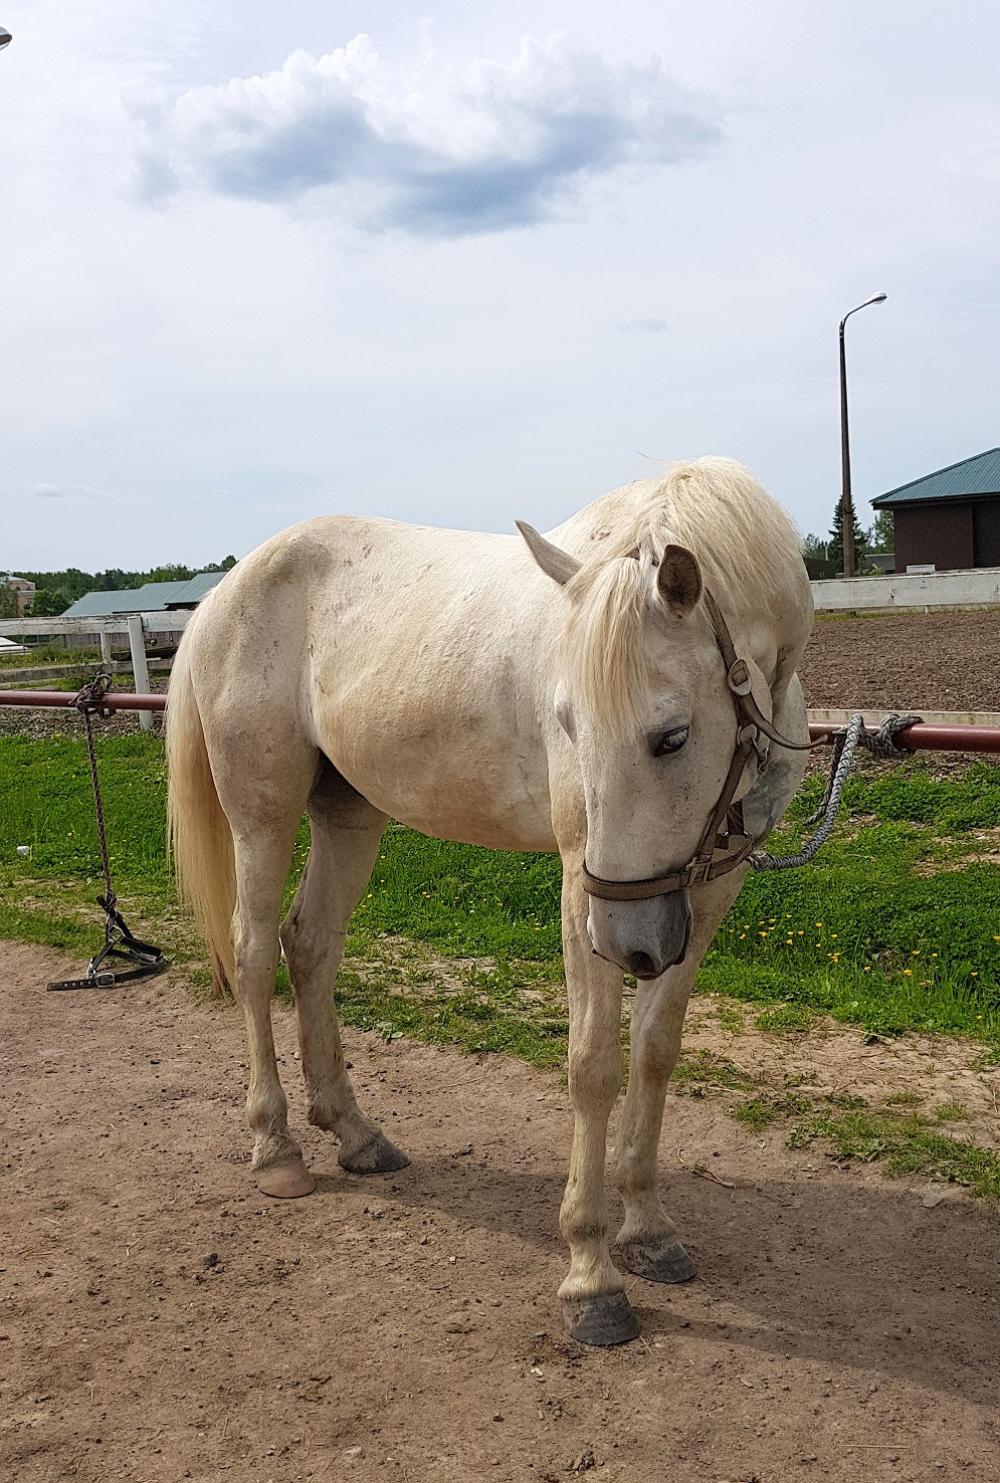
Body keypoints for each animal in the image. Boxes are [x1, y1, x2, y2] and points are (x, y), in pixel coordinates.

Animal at [165, 456, 813, 1346]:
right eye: (566, 722)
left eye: (671, 736)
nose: (630, 943)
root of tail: (226, 590)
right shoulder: (583, 887)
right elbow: (593, 1064)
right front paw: (590, 1276)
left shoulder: (707, 891)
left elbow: (654, 1051)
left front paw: (648, 1229)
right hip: (261, 812)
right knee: (258, 952)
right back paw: (277, 1149)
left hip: (349, 814)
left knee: (312, 943)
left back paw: (356, 1133)